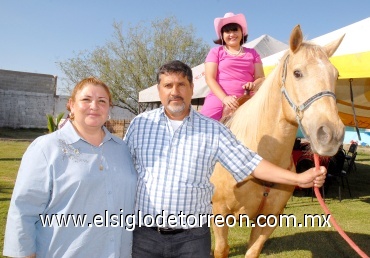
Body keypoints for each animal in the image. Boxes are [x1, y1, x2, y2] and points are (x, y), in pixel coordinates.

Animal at [210, 24, 346, 258]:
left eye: (335, 75)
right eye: (297, 73)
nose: (331, 134)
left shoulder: (268, 220)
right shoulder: (219, 215)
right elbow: (221, 249)